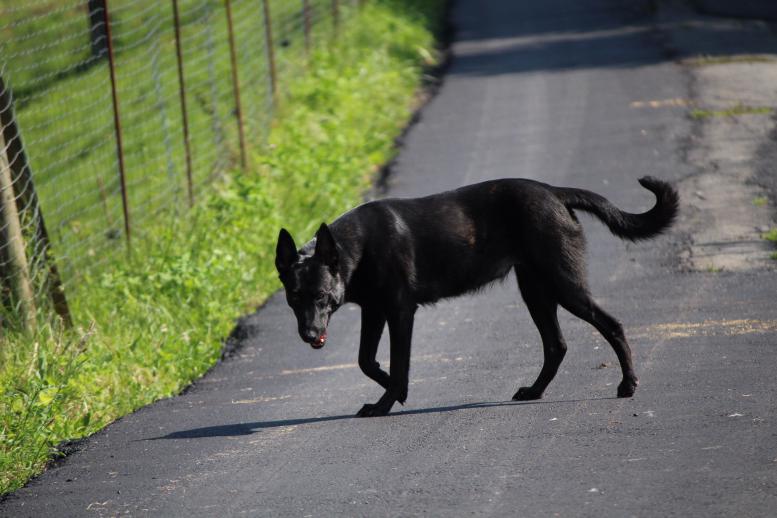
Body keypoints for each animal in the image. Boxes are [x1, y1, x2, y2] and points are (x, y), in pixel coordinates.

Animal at [276, 179, 676, 418]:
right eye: (294, 297)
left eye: (322, 296)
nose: (310, 335)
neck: (353, 248)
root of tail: (553, 191)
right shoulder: (374, 312)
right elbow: (364, 361)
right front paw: (391, 389)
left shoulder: (400, 312)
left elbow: (399, 364)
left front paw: (389, 399)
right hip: (535, 291)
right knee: (556, 345)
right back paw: (535, 391)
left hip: (565, 286)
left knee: (612, 325)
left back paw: (627, 384)